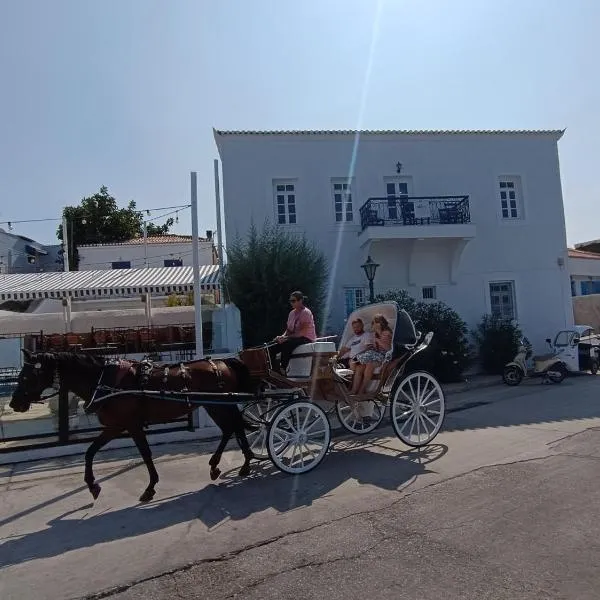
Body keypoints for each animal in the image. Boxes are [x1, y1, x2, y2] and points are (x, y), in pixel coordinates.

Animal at [8, 350, 258, 504]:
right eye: (20, 375)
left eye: (27, 376)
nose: (13, 403)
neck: (104, 381)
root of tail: (224, 361)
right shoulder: (116, 426)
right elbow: (90, 452)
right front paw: (92, 485)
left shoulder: (131, 425)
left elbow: (145, 454)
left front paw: (150, 487)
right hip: (213, 404)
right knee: (231, 429)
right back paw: (220, 465)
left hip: (220, 404)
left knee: (235, 427)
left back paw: (245, 462)